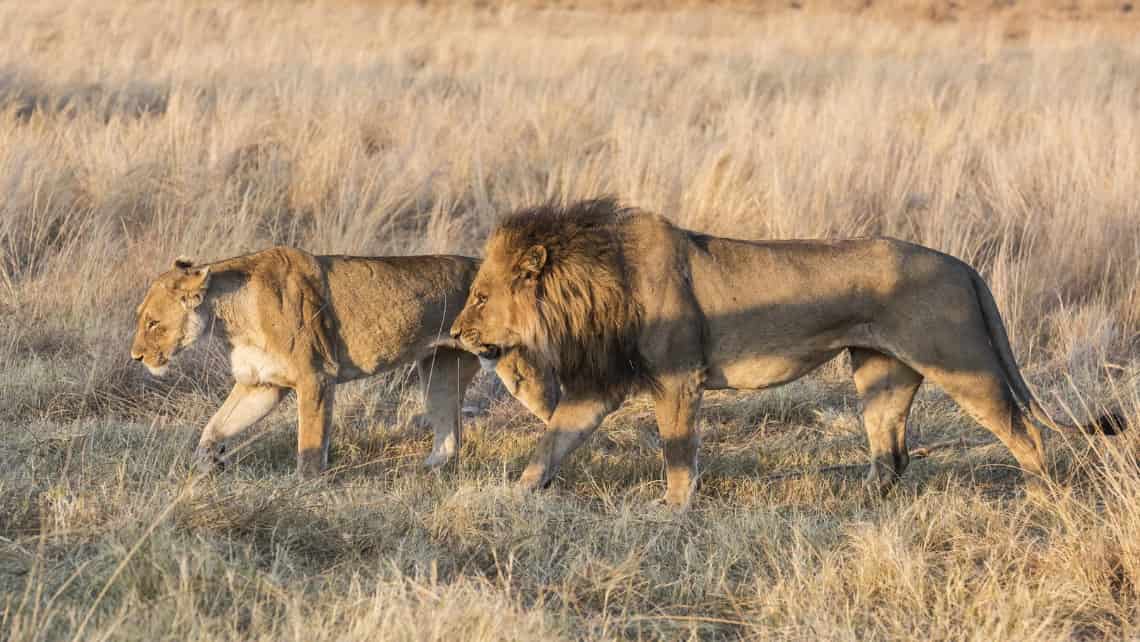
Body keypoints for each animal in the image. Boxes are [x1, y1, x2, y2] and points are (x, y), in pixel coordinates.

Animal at [130, 246, 556, 476]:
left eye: (152, 322)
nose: (136, 356)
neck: (229, 318)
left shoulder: (316, 376)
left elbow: (310, 443)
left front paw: (305, 490)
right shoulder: (261, 384)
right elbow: (214, 427)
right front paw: (208, 465)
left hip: (521, 373)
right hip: (439, 373)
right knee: (450, 437)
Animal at [451, 198, 1121, 510]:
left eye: (481, 296)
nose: (456, 333)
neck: (593, 282)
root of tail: (964, 266)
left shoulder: (678, 378)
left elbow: (677, 453)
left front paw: (671, 510)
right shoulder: (603, 384)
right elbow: (552, 443)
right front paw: (513, 494)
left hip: (963, 363)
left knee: (1025, 432)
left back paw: (1043, 497)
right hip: (880, 373)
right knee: (892, 454)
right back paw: (858, 503)